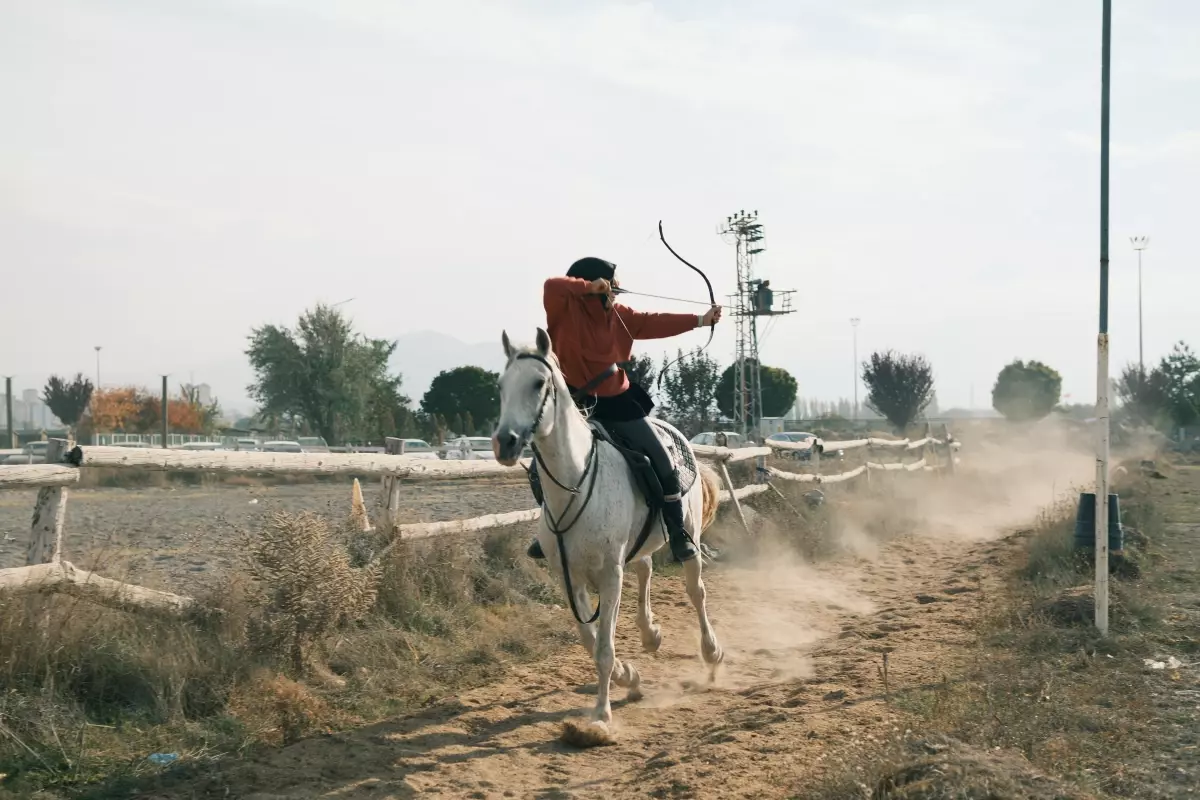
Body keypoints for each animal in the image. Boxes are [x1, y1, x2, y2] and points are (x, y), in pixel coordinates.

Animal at [489, 328, 720, 743]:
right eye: (501, 386)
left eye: (538, 383)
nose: (506, 443)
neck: (576, 485)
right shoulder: (570, 579)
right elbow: (590, 639)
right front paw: (628, 676)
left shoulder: (610, 575)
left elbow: (604, 648)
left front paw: (600, 714)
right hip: (635, 550)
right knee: (644, 569)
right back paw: (650, 634)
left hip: (688, 539)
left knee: (696, 592)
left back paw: (711, 653)